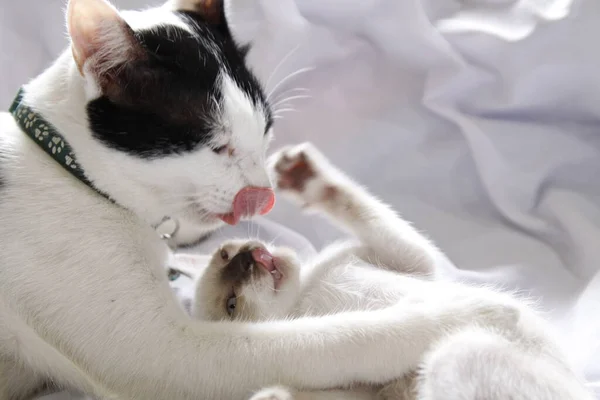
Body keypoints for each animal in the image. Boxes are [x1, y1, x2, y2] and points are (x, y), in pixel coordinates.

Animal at [0, 0, 520, 400]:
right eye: (218, 146)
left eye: (265, 131)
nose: (264, 197)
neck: (64, 165)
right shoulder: (166, 357)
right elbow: (326, 340)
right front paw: (470, 313)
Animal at [175, 142, 596, 398]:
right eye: (231, 305)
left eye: (225, 255)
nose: (244, 259)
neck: (306, 292)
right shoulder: (356, 388)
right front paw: (276, 394)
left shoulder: (412, 261)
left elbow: (360, 209)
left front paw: (305, 178)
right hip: (458, 352)